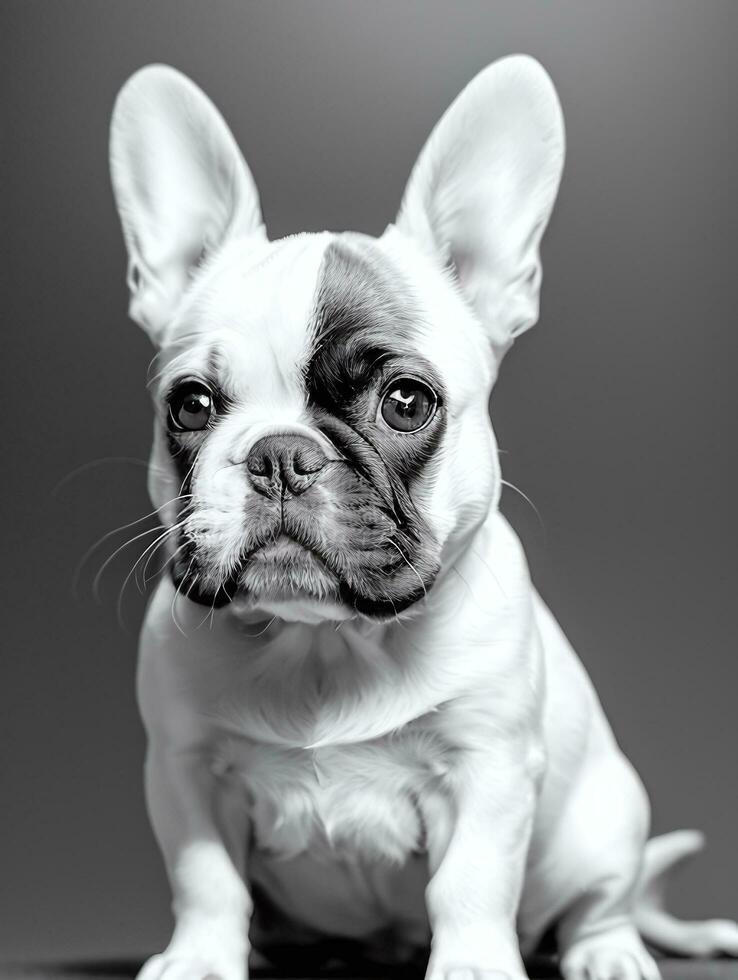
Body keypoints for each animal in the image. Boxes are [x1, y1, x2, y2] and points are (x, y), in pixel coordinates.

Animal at [109, 59, 736, 980]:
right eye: (189, 405)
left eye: (406, 401)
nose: (281, 455)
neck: (326, 644)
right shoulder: (186, 769)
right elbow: (207, 880)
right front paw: (200, 959)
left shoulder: (487, 769)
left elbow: (470, 886)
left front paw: (474, 965)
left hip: (604, 822)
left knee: (599, 903)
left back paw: (608, 953)